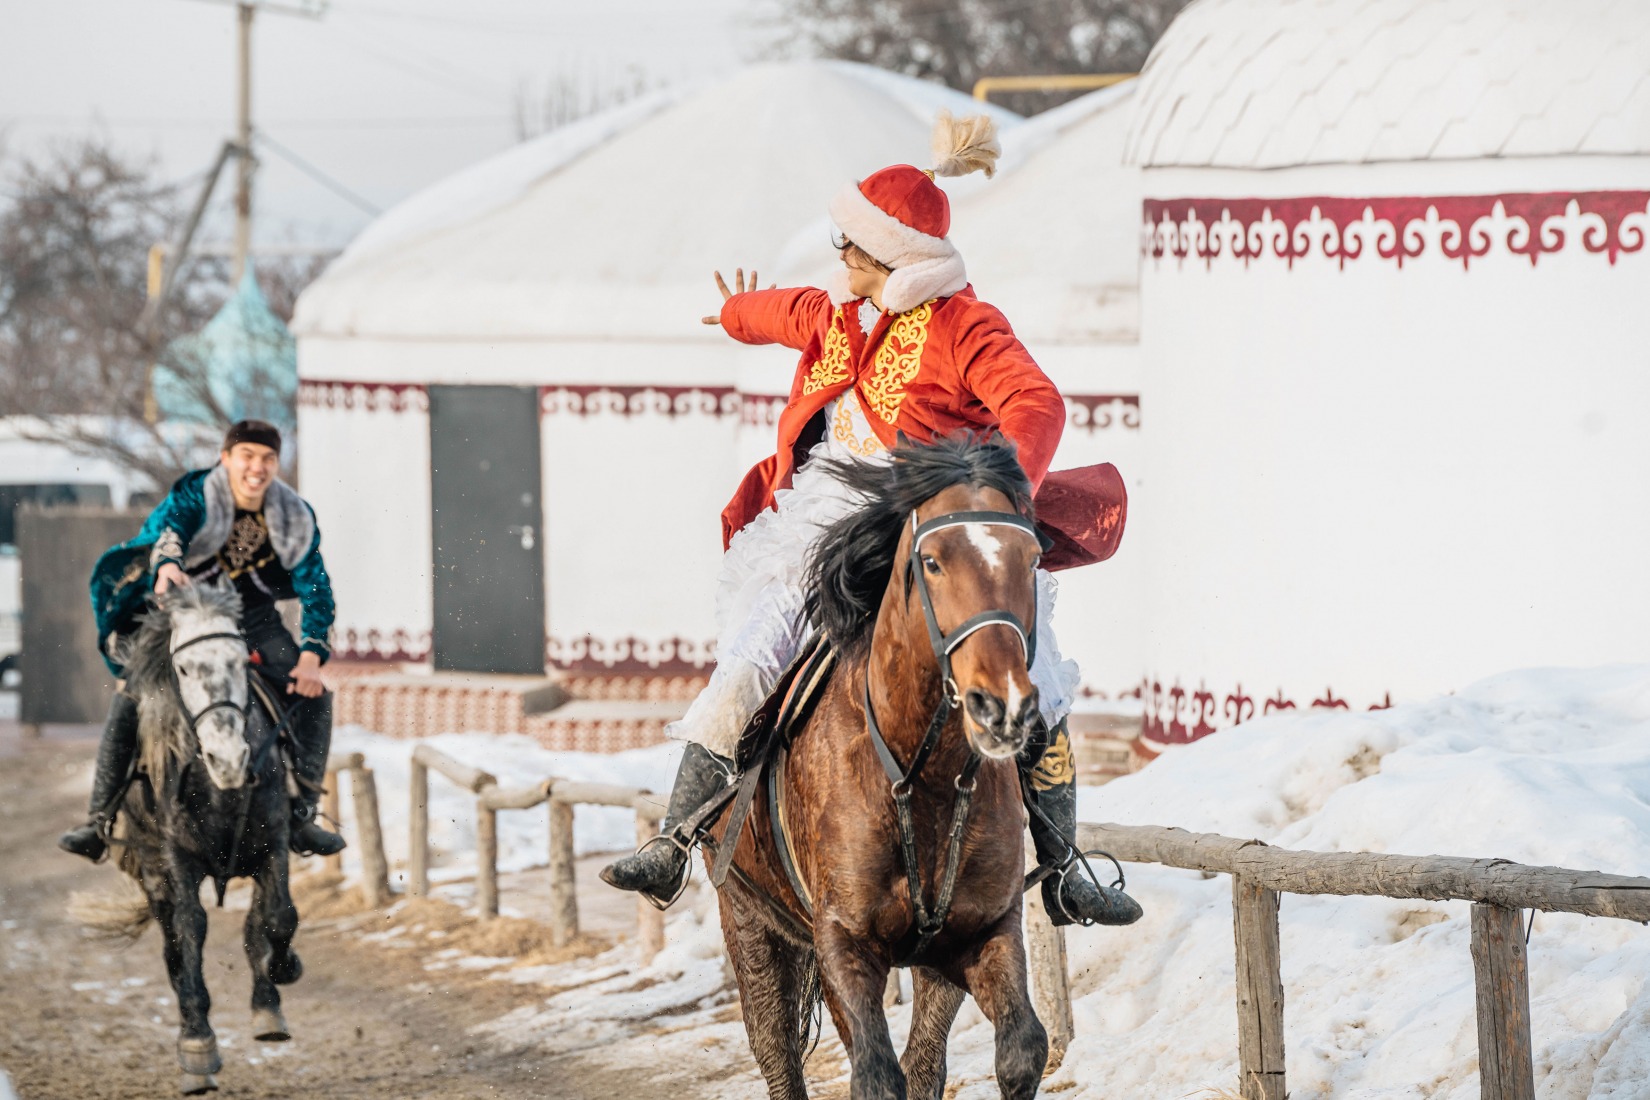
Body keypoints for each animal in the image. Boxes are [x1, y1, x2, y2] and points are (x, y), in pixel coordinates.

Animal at [69, 583, 303, 1095]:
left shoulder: (272, 842)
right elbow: (191, 929)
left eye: (241, 661)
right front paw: (198, 1046)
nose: (229, 758)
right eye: (184, 668)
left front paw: (280, 976)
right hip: (153, 873)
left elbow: (278, 917)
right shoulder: (176, 857)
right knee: (173, 947)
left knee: (256, 922)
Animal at [709, 438, 1042, 1100]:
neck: (924, 775)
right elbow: (875, 1073)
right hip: (747, 917)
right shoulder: (844, 942)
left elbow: (1017, 1053)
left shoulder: (983, 930)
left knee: (922, 1061)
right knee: (777, 1053)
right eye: (932, 561)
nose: (1002, 707)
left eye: (1033, 559)